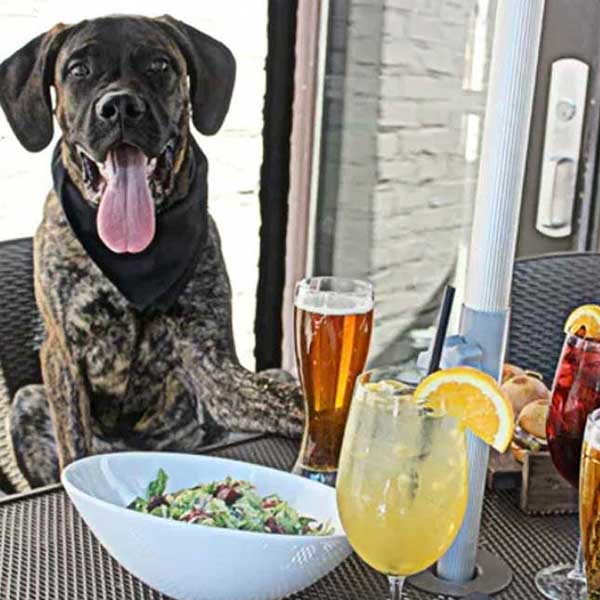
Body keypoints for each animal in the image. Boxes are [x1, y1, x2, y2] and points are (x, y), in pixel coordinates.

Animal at [0, 16, 302, 490]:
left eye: (160, 65)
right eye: (78, 69)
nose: (121, 106)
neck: (134, 257)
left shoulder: (212, 361)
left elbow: (293, 400)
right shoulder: (63, 352)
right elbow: (74, 443)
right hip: (29, 401)